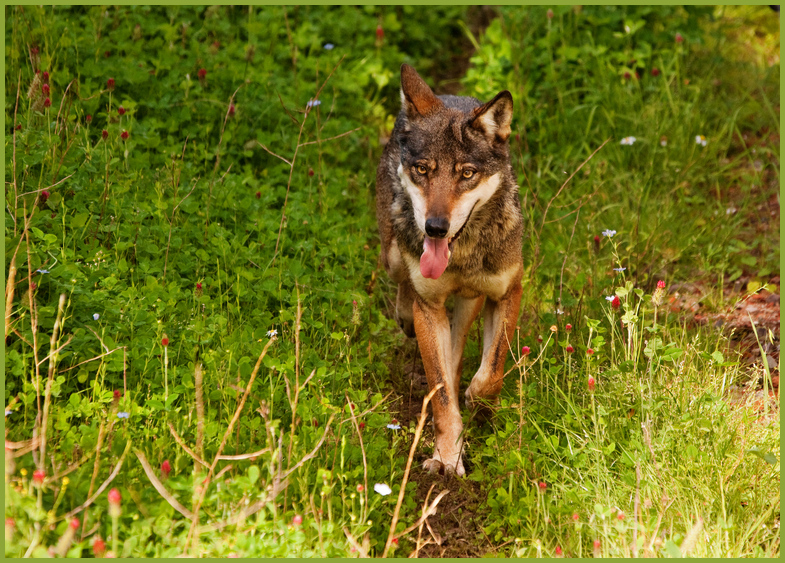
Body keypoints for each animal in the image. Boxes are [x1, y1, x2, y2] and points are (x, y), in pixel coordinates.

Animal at [376, 67, 520, 480]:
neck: (463, 254)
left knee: (456, 354)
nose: (435, 228)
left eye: (466, 174)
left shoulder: (508, 291)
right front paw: (446, 457)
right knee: (404, 286)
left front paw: (477, 403)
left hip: (470, 300)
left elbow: (491, 372)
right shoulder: (430, 305)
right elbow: (440, 393)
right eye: (423, 170)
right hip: (394, 257)